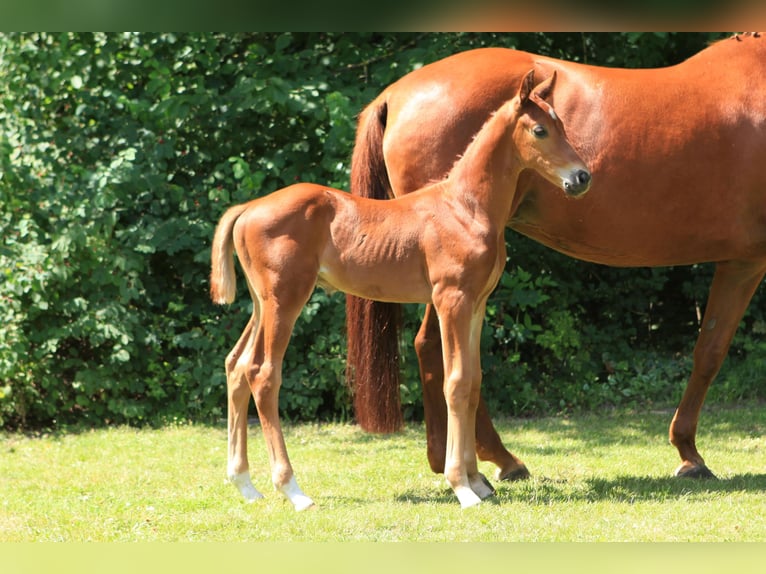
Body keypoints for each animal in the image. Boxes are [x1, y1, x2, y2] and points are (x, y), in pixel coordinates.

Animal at [212, 73, 592, 512]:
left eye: (562, 124)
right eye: (540, 130)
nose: (582, 177)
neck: (465, 207)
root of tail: (249, 208)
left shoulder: (477, 304)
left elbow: (473, 382)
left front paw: (477, 481)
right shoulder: (451, 300)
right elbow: (455, 382)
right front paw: (462, 486)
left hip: (261, 304)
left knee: (236, 365)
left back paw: (245, 484)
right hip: (285, 300)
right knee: (263, 374)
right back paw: (293, 490)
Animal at [348, 33, 766, 484]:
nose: (582, 177)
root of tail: (394, 95)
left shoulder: (741, 262)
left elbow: (708, 349)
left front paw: (688, 452)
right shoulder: (746, 262)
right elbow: (711, 353)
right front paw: (689, 453)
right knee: (435, 350)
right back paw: (496, 459)